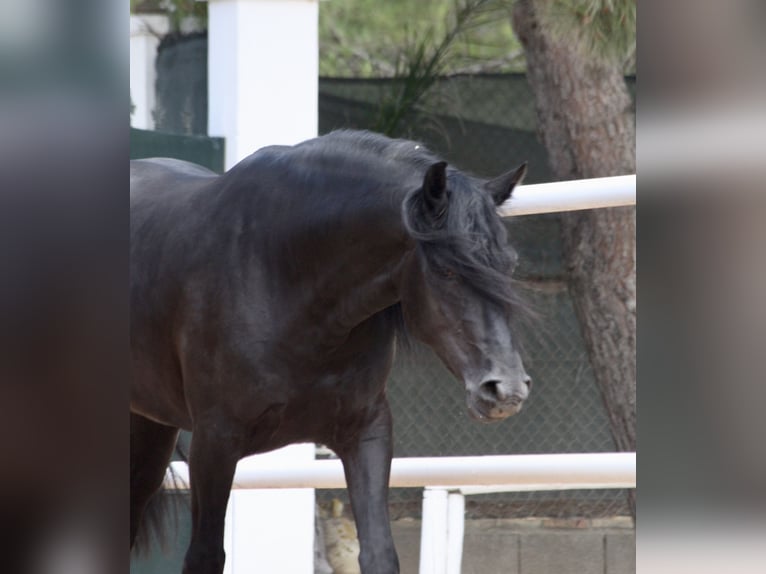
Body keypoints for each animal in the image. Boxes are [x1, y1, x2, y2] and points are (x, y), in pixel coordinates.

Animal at [130, 132, 528, 574]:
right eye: (447, 269)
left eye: (509, 265)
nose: (505, 390)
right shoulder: (214, 442)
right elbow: (205, 555)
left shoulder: (366, 431)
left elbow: (378, 552)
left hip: (149, 429)